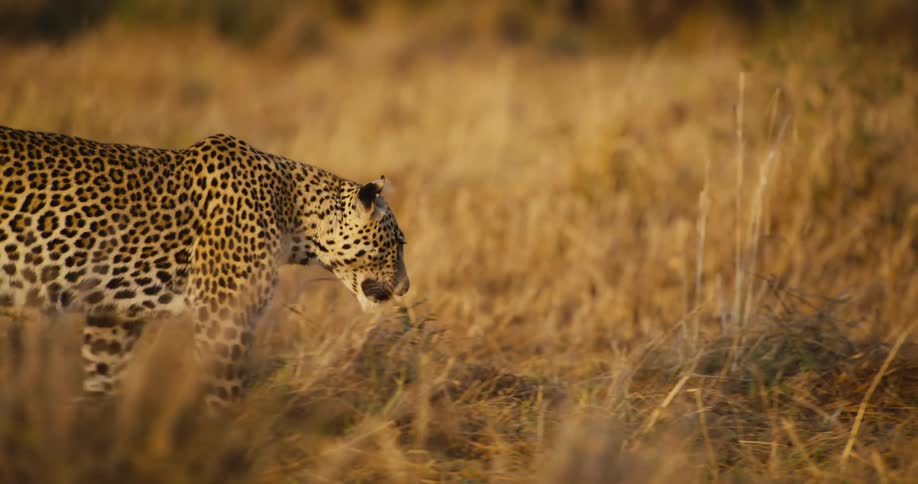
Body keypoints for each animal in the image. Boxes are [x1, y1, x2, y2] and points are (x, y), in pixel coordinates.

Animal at [0, 125, 409, 408]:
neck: (295, 214)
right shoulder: (223, 317)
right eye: (399, 243)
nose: (406, 288)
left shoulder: (114, 316)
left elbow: (102, 379)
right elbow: (225, 395)